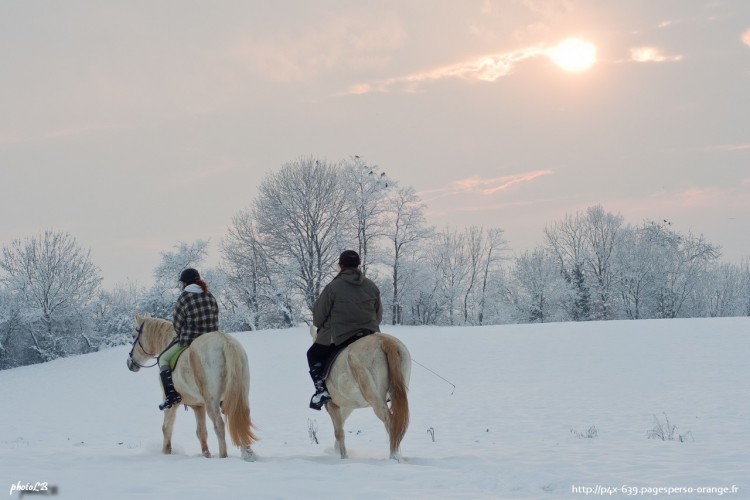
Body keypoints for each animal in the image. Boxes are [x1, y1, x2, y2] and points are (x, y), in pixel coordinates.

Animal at [128, 314, 260, 462]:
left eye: (133, 336)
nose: (129, 363)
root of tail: (225, 342)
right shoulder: (198, 406)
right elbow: (201, 432)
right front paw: (206, 455)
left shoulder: (172, 404)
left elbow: (166, 428)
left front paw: (165, 453)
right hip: (239, 396)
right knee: (241, 419)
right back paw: (248, 454)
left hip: (212, 401)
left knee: (219, 425)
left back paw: (223, 457)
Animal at [312, 328, 418, 460]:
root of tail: (385, 341)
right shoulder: (347, 406)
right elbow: (341, 425)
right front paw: (336, 450)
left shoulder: (333, 405)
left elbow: (339, 432)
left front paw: (343, 457)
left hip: (374, 398)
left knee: (390, 421)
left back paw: (393, 456)